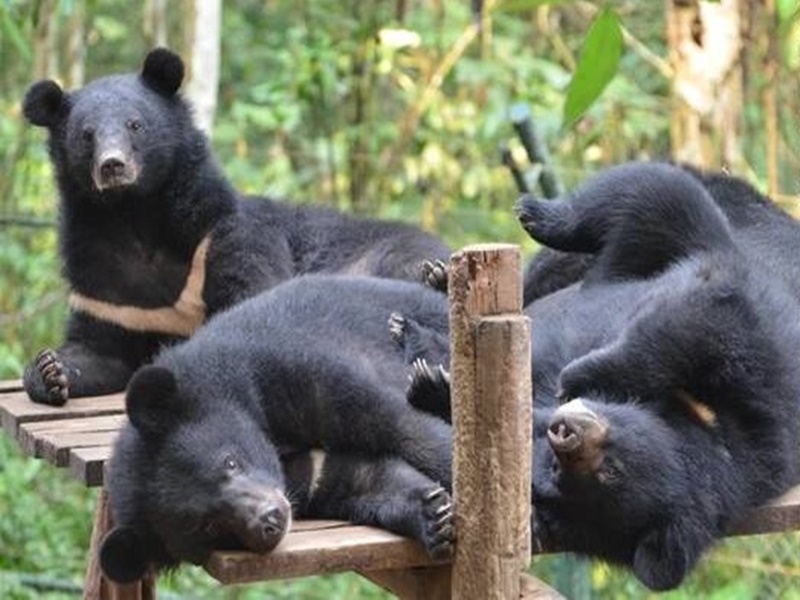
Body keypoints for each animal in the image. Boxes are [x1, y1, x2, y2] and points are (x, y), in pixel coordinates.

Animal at [21, 47, 450, 406]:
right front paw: (48, 370)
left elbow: (251, 296)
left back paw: (437, 278)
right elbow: (98, 350)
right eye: (86, 135)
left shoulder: (222, 233)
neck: (136, 214)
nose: (112, 166)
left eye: (135, 125)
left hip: (381, 253)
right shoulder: (105, 284)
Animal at [99, 275, 455, 583]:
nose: (270, 519)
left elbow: (401, 425)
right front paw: (434, 517)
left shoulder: (294, 369)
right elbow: (363, 479)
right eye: (209, 528)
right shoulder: (307, 475)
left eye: (231, 462)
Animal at [397, 162, 800, 590]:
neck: (702, 420)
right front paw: (577, 375)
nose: (566, 432)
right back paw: (511, 230)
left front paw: (432, 385)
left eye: (608, 471)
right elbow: (701, 314)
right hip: (727, 210)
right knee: (651, 197)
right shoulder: (762, 362)